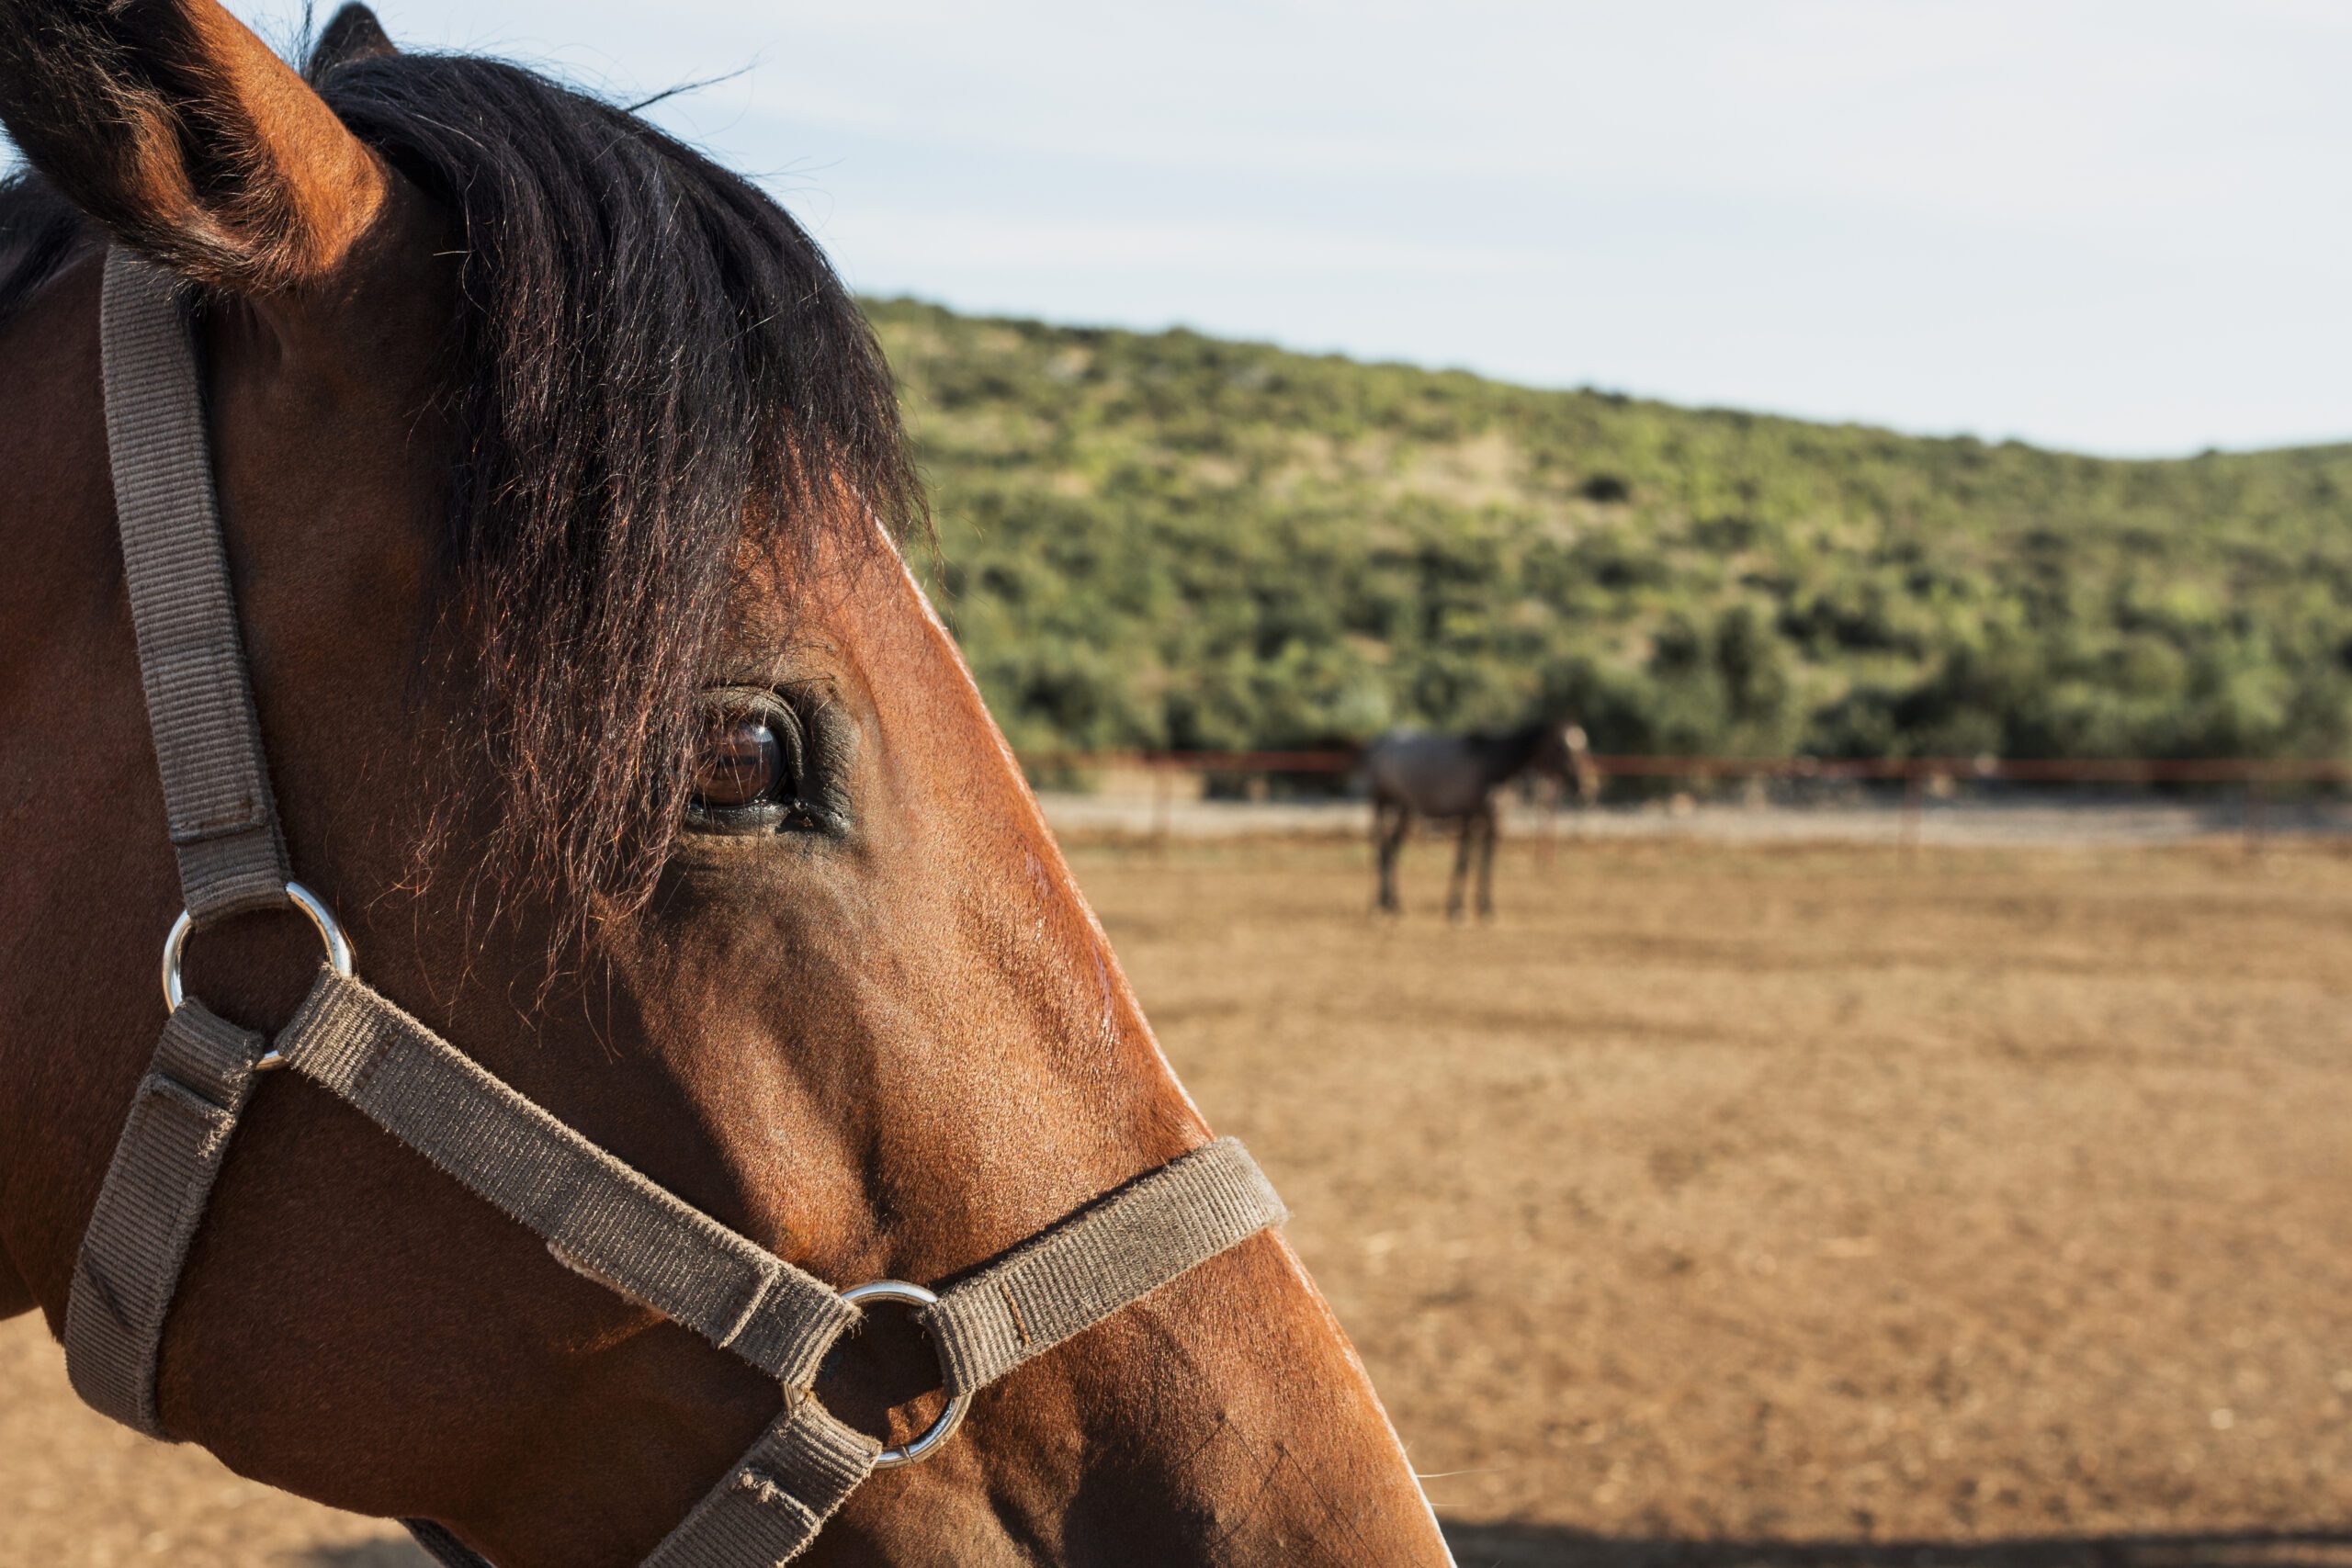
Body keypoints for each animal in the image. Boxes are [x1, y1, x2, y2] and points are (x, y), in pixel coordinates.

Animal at [1363, 724, 1599, 921]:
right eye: (1561, 747)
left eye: (1582, 746)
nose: (1583, 787)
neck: (1491, 766)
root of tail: (1382, 741)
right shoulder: (1469, 817)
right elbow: (1464, 860)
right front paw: (1456, 908)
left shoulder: (1494, 821)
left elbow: (1486, 861)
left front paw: (1486, 907)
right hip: (1382, 802)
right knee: (1382, 848)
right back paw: (1381, 904)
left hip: (1405, 809)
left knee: (1392, 848)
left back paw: (1392, 903)